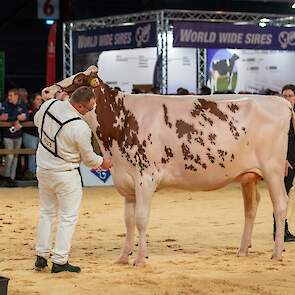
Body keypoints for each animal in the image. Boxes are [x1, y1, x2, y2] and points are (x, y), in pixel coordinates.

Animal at [42, 66, 294, 268]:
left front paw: (140, 259)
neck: (121, 121)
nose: (45, 91)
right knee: (251, 208)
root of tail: (281, 101)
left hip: (272, 169)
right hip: (247, 175)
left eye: (78, 79)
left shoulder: (146, 178)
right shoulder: (127, 183)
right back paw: (242, 251)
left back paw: (277, 253)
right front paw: (123, 257)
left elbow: (141, 219)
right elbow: (129, 221)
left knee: (280, 204)